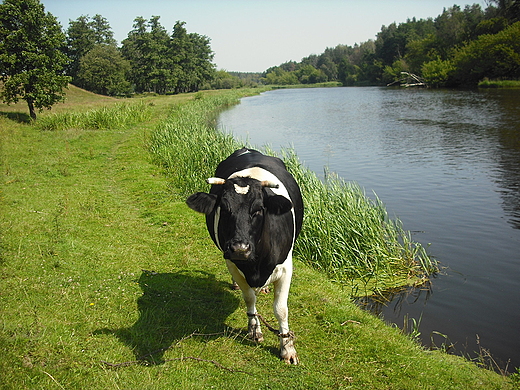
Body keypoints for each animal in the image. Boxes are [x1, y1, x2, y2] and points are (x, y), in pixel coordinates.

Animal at [186, 148, 302, 364]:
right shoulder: (232, 263)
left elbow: (281, 309)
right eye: (224, 208)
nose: (239, 248)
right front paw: (254, 329)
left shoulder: (286, 268)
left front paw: (287, 347)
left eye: (258, 209)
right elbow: (249, 298)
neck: (256, 266)